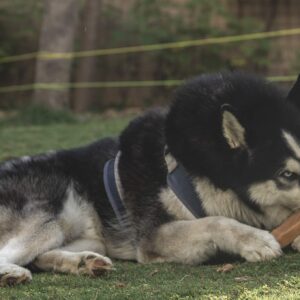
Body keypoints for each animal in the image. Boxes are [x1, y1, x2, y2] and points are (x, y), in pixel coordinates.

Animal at [1, 72, 300, 286]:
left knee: (41, 257)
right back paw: (12, 274)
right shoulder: (152, 237)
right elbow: (215, 222)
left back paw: (84, 263)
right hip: (51, 219)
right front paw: (255, 240)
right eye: (287, 174)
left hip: (90, 236)